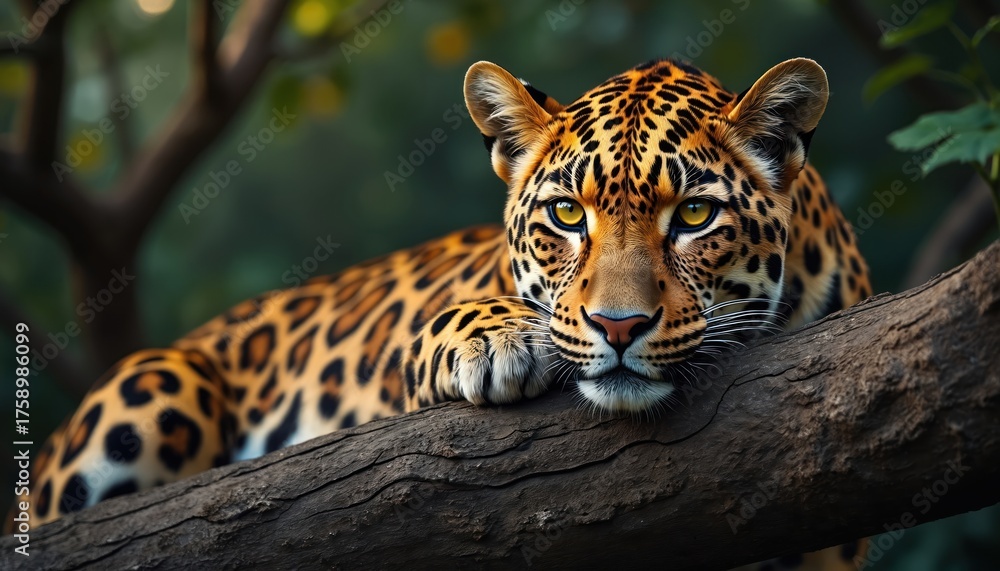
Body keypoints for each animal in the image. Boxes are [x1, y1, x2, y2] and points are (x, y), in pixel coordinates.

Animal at [9, 57, 871, 568]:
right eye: (566, 214)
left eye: (694, 215)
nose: (619, 327)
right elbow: (446, 320)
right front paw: (495, 339)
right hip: (155, 387)